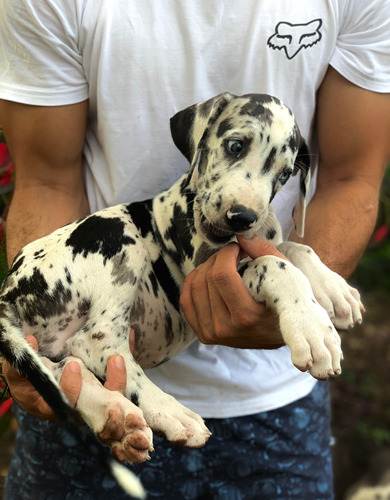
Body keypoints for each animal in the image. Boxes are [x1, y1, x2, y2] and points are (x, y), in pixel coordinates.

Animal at [0, 92, 362, 494]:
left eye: (284, 175)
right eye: (235, 146)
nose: (242, 217)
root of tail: (8, 292)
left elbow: (294, 250)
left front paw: (334, 291)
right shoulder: (207, 272)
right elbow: (275, 265)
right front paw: (313, 330)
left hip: (45, 349)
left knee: (65, 369)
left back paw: (115, 413)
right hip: (118, 233)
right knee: (96, 342)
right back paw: (170, 412)